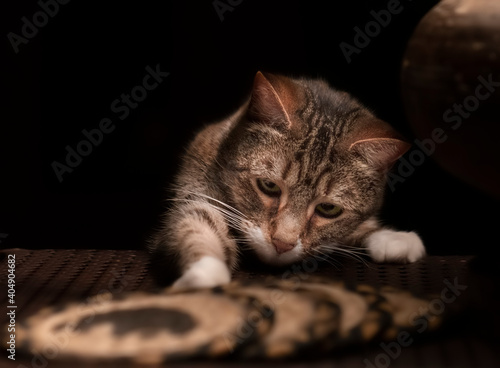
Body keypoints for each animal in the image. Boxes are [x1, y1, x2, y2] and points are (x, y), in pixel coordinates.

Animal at [149, 72, 426, 288]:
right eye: (269, 186)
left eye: (329, 208)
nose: (282, 244)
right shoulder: (196, 194)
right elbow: (197, 224)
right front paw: (205, 272)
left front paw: (389, 236)